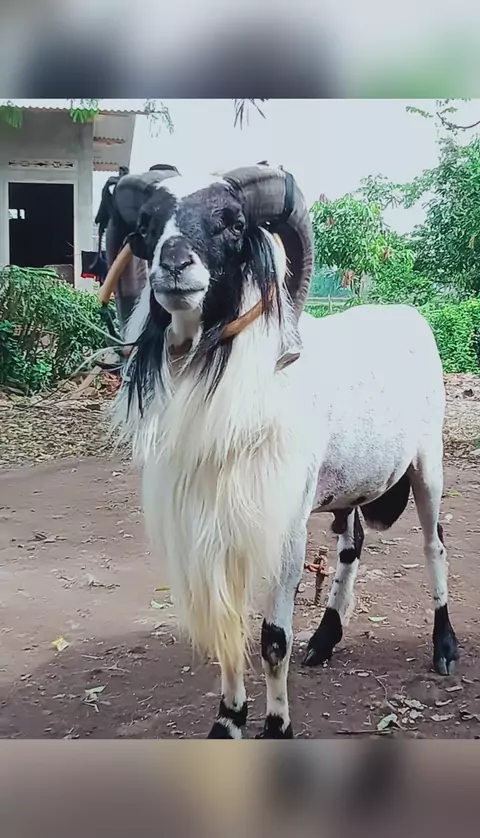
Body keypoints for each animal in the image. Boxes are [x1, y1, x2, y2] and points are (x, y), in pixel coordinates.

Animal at [108, 164, 458, 738]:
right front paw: (227, 722)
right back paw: (324, 640)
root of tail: (408, 315)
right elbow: (228, 629)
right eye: (145, 225)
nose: (175, 264)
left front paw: (277, 728)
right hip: (346, 486)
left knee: (434, 546)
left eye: (232, 222)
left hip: (427, 462)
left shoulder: (283, 526)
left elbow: (273, 640)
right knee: (351, 546)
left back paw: (445, 647)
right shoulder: (211, 525)